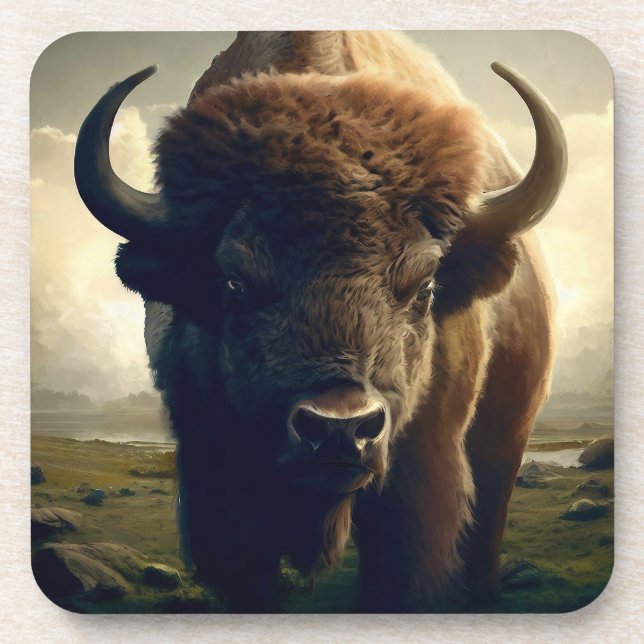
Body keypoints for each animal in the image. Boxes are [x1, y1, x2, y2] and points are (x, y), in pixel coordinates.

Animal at [74, 31, 566, 612]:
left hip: (503, 448)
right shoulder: (215, 479)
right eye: (235, 283)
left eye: (425, 286)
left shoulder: (421, 488)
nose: (340, 429)